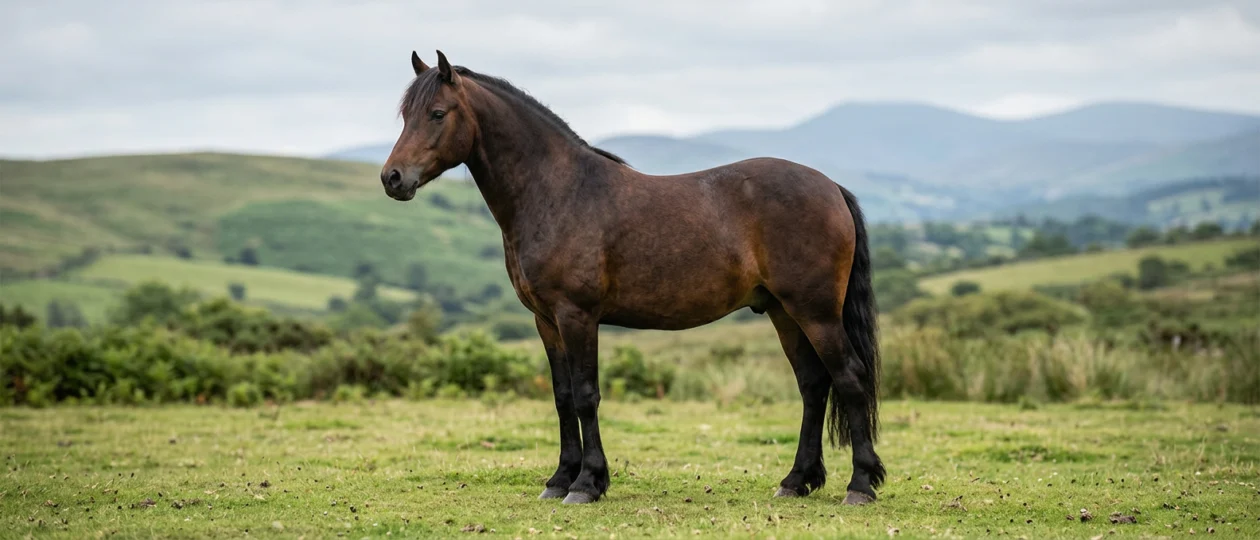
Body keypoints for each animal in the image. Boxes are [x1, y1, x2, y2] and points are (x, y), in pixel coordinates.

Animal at [381, 50, 885, 506]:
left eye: (437, 113)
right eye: (405, 114)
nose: (392, 178)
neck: (559, 192)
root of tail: (831, 187)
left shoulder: (577, 315)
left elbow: (586, 395)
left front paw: (587, 484)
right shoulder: (546, 321)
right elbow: (562, 396)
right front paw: (559, 480)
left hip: (815, 312)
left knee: (849, 378)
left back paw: (860, 486)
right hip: (783, 312)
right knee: (813, 386)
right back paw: (796, 481)